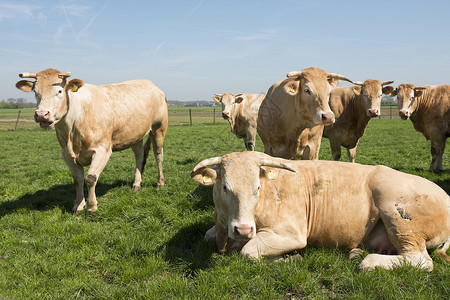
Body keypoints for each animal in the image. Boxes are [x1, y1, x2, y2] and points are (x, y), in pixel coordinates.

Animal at [15, 68, 169, 213]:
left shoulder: (102, 149)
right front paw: (78, 205)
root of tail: (152, 85)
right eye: (35, 91)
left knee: (158, 155)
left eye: (59, 91)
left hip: (159, 128)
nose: (41, 114)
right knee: (139, 155)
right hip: (135, 135)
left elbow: (91, 178)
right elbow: (77, 179)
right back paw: (137, 184)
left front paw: (91, 207)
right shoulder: (66, 154)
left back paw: (160, 182)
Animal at [191, 152, 450, 272]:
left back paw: (369, 261)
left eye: (257, 188)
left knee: (420, 260)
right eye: (225, 187)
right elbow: (208, 235)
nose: (243, 230)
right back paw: (356, 252)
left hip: (399, 216)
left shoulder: (291, 232)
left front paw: (289, 258)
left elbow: (248, 252)